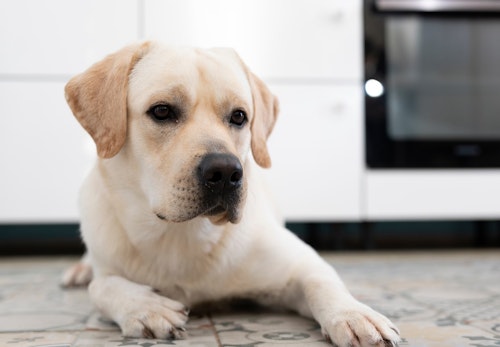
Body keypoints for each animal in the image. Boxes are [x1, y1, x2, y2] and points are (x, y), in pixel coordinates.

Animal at [62, 41, 400, 347]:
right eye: (161, 111)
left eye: (239, 117)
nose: (225, 172)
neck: (182, 236)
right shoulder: (108, 268)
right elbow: (101, 288)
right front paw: (146, 307)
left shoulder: (297, 263)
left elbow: (322, 280)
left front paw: (354, 314)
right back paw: (80, 270)